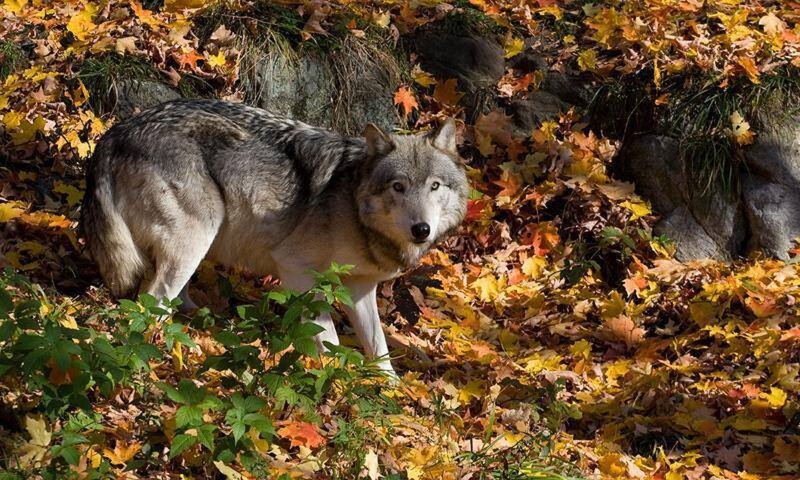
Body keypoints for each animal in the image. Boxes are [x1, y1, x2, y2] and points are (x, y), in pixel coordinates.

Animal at [81, 99, 468, 374]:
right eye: (398, 187)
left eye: (435, 186)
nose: (422, 229)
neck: (352, 204)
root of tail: (116, 132)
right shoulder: (296, 269)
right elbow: (327, 335)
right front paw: (334, 376)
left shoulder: (360, 289)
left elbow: (380, 349)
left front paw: (389, 393)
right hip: (198, 236)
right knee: (152, 302)